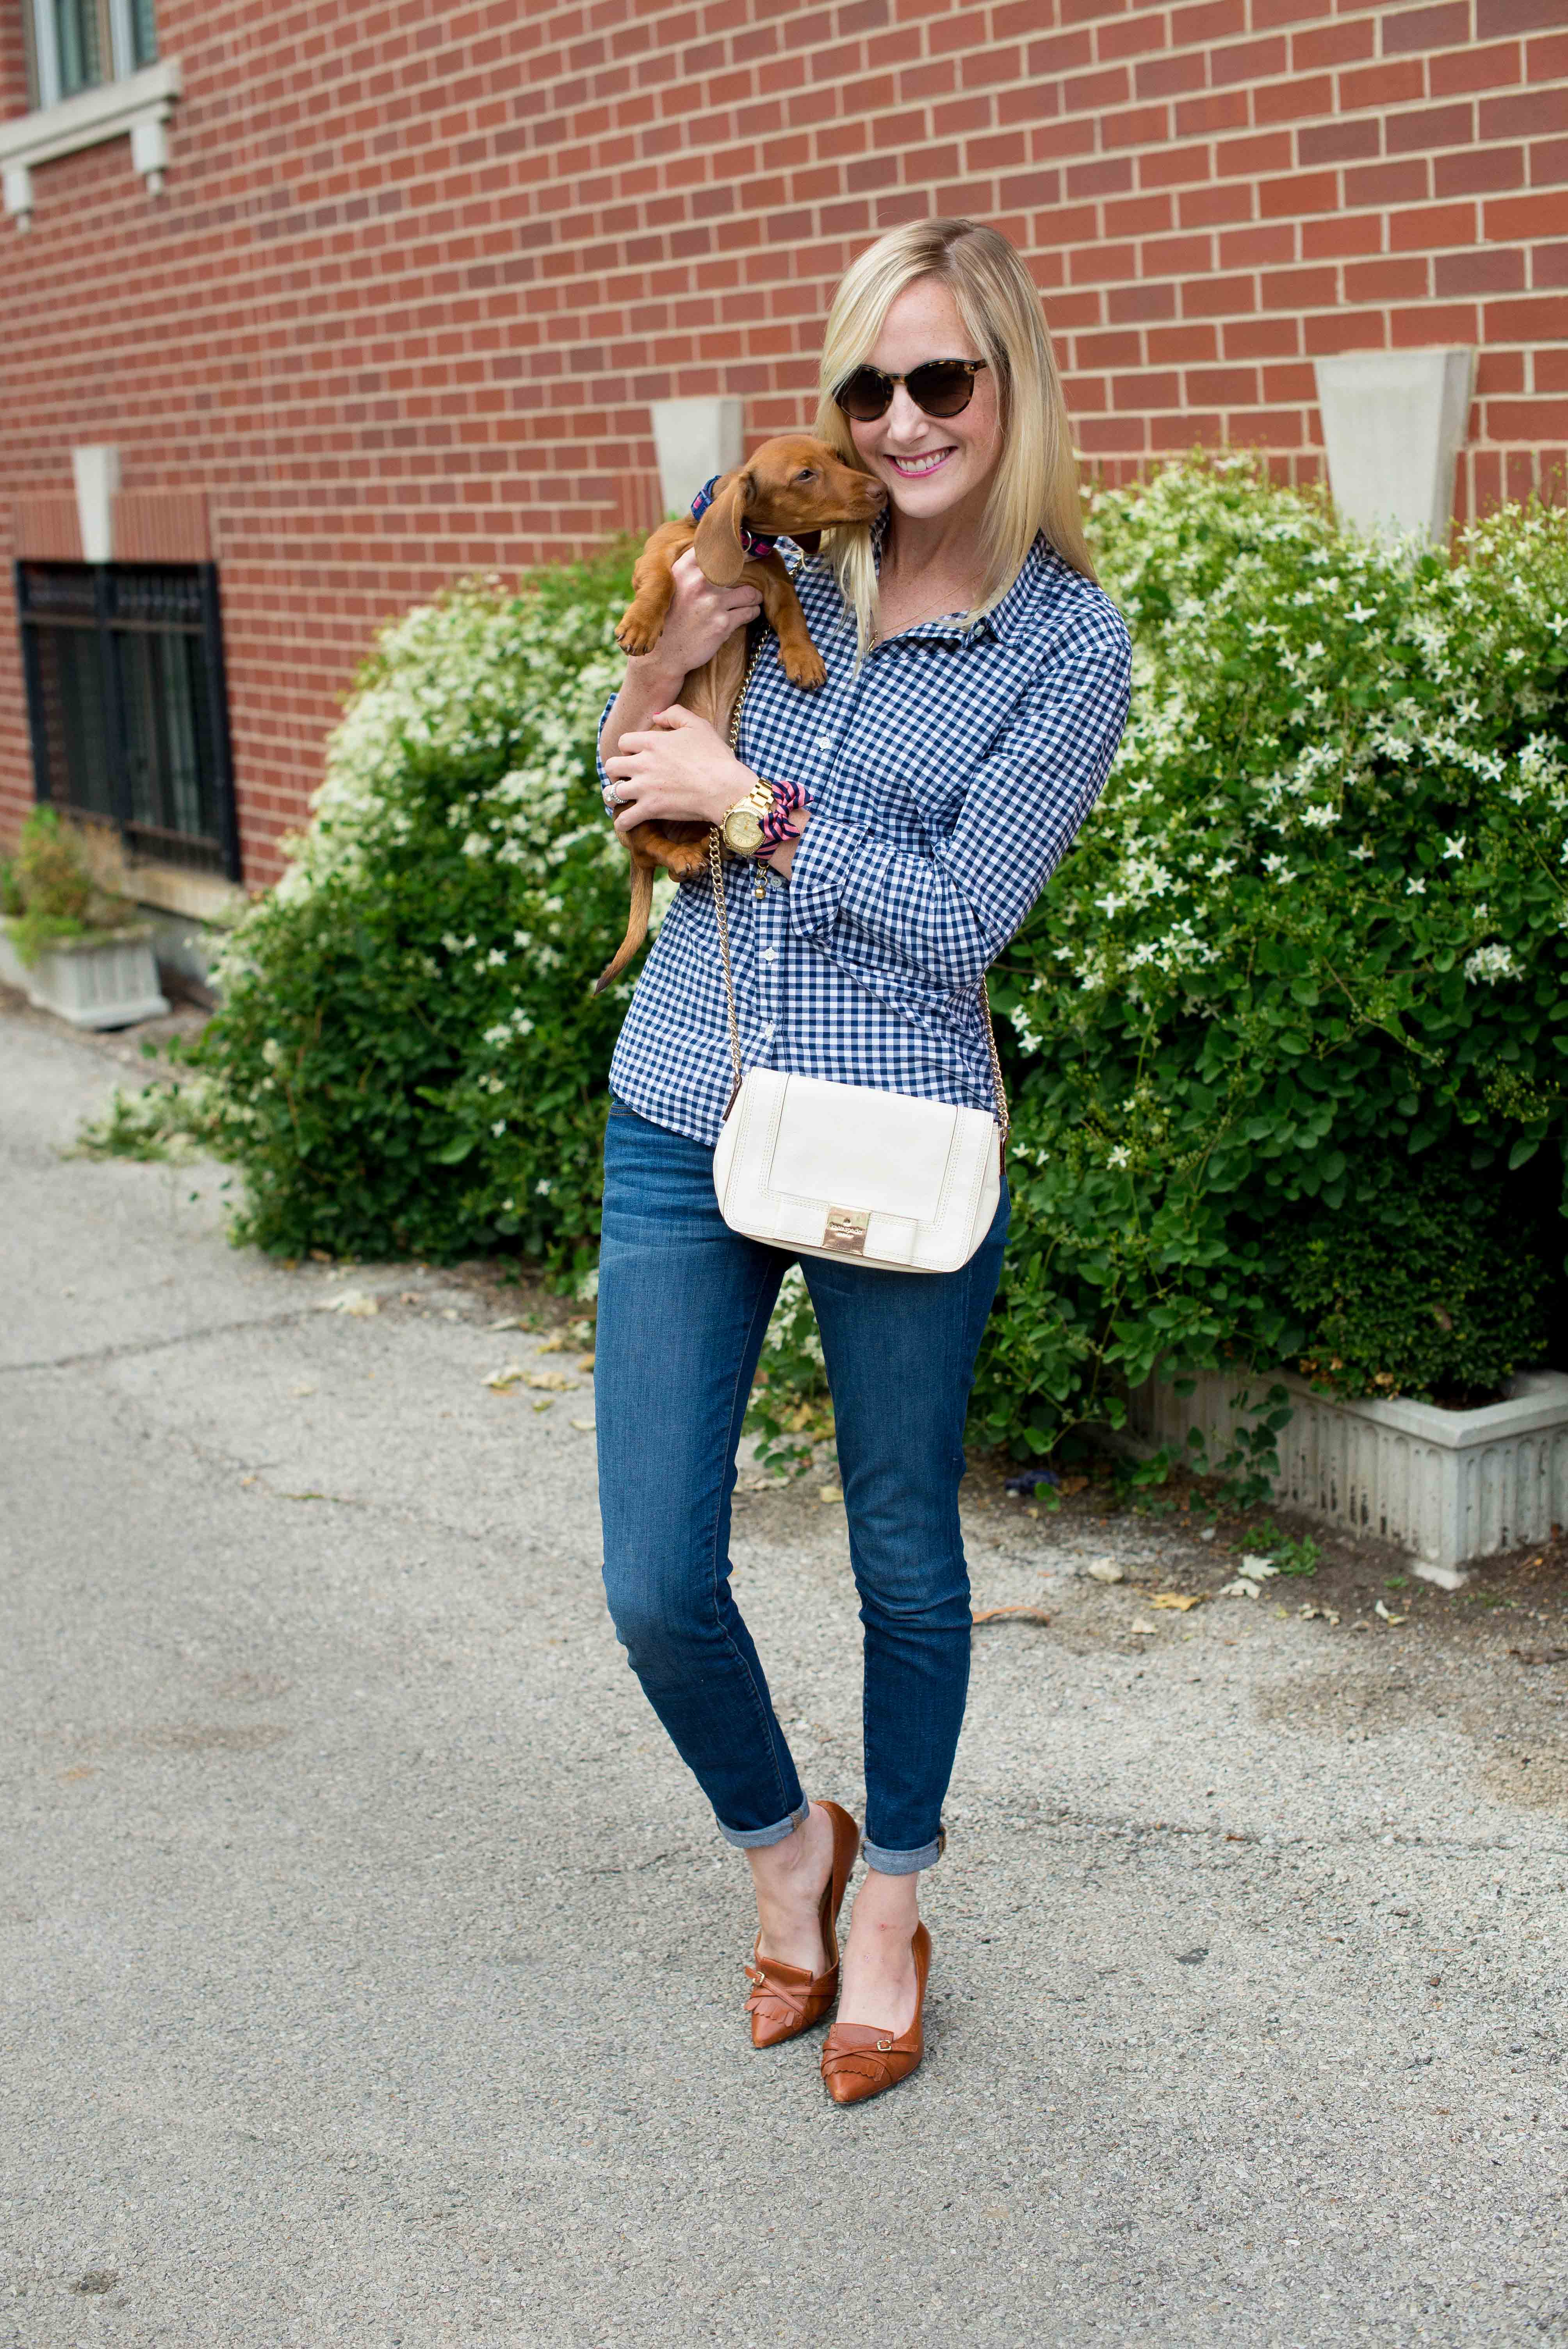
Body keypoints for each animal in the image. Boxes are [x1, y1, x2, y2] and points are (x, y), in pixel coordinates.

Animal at [594, 437, 887, 996]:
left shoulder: (773, 584)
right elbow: (659, 582)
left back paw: (709, 852)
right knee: (644, 846)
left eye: (839, 457)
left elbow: (793, 616)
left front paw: (804, 659)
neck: (744, 548)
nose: (881, 490)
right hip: (637, 794)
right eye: (804, 475)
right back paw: (680, 855)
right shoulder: (658, 557)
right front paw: (641, 624)